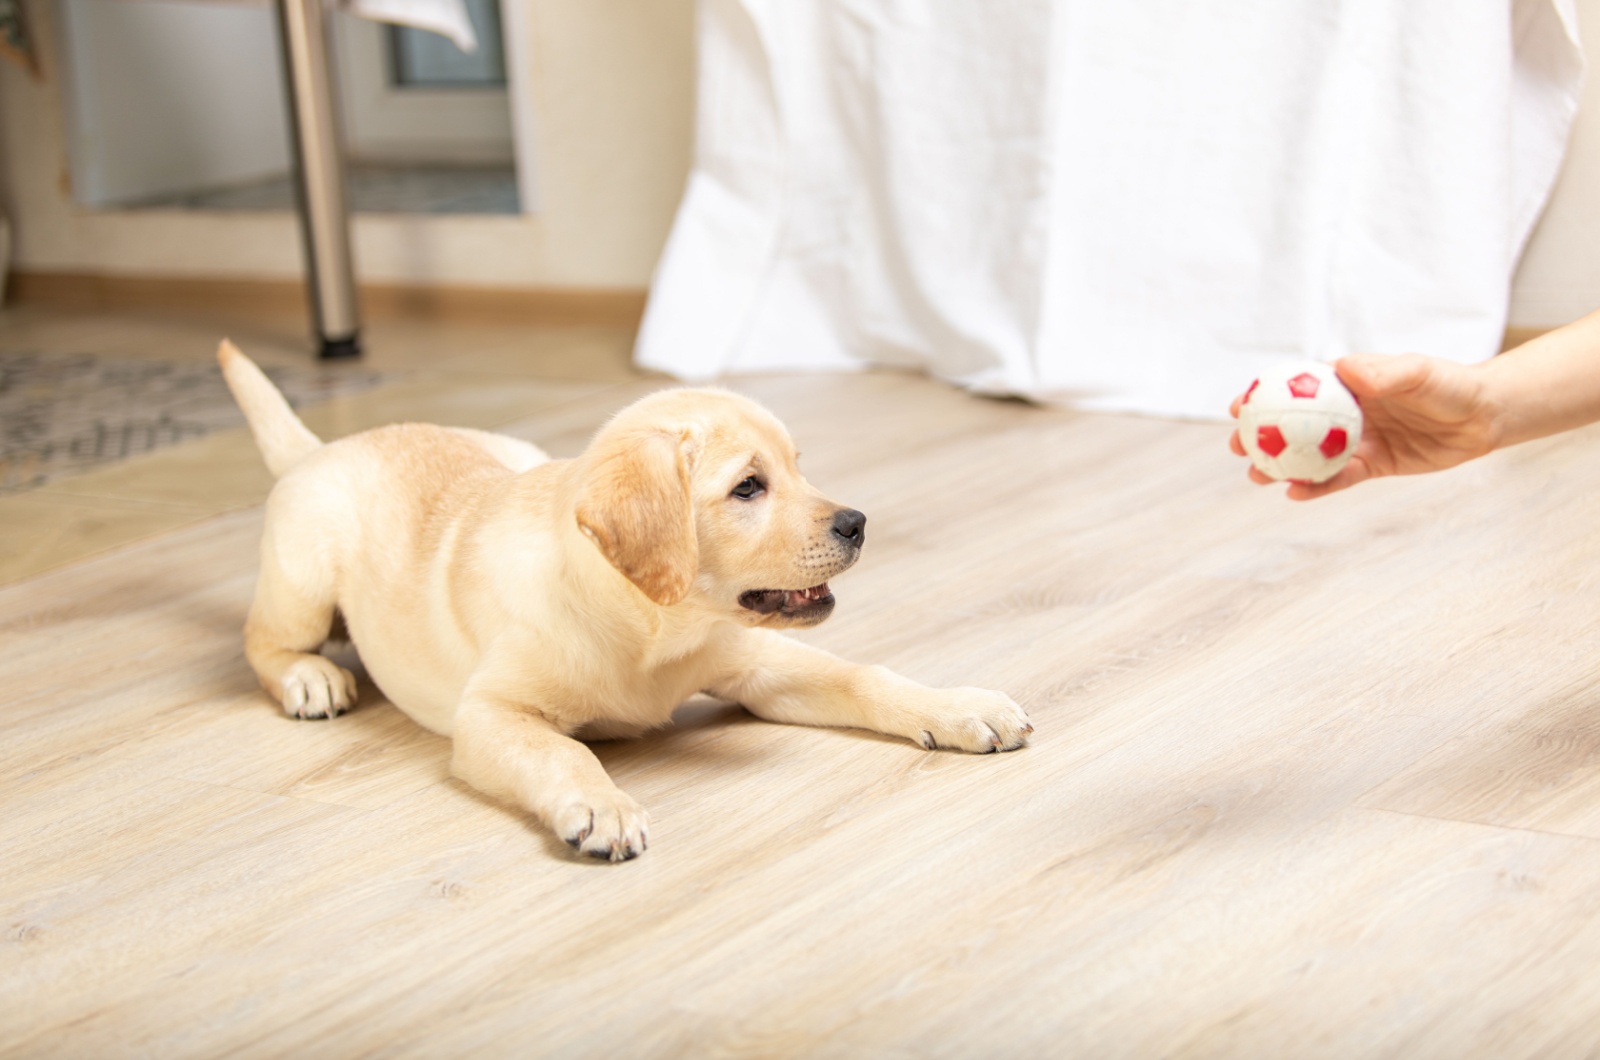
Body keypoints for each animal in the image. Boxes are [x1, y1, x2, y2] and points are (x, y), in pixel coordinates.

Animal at [219, 342, 1030, 864]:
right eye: (748, 487)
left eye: (799, 468)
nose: (858, 523)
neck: (652, 627)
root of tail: (324, 448)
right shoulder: (491, 716)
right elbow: (564, 749)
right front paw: (602, 805)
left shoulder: (755, 662)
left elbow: (864, 675)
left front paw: (959, 707)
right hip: (305, 577)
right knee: (261, 640)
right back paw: (309, 678)